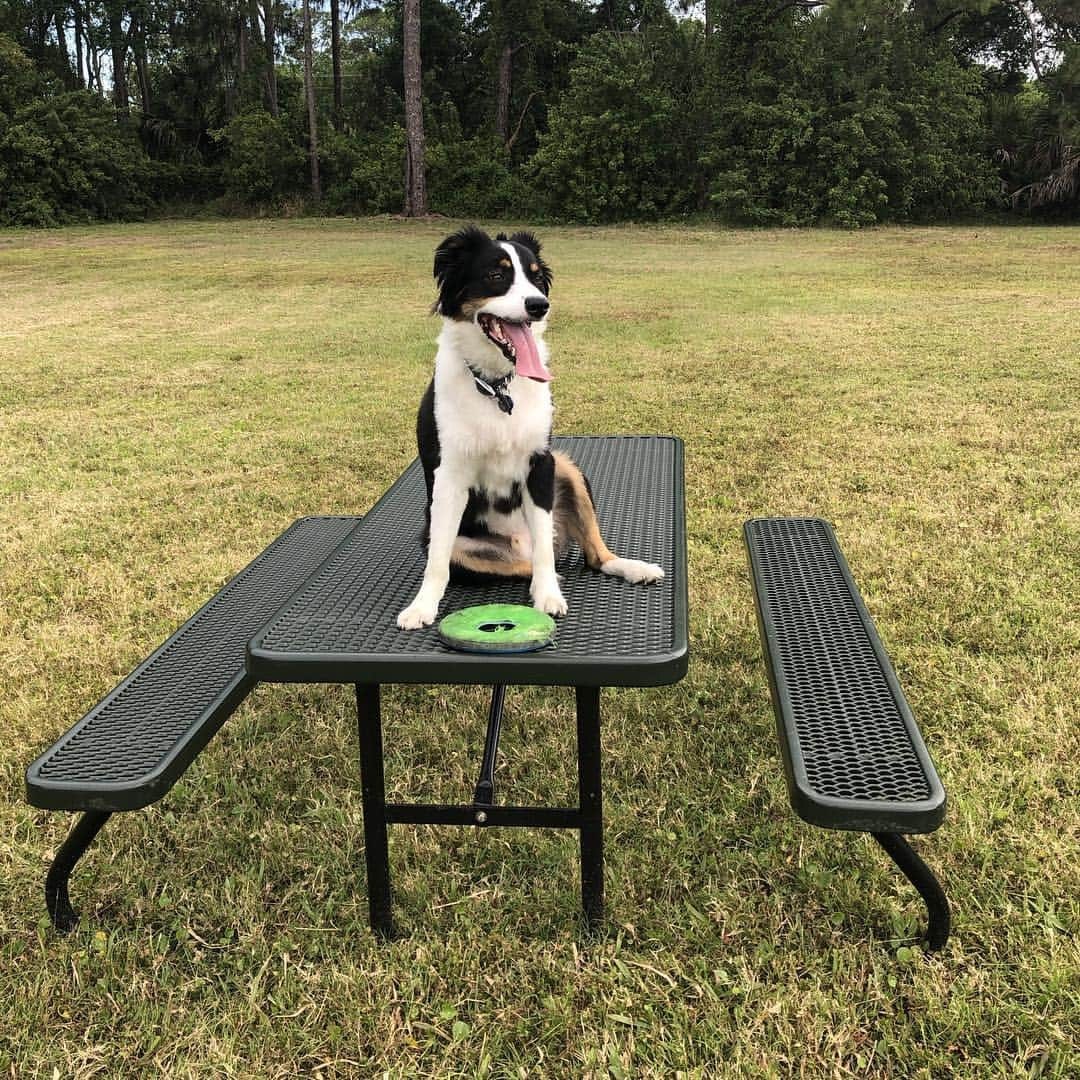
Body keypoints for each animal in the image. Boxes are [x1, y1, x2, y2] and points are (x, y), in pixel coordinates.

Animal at [397, 228, 660, 630]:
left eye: (536, 278)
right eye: (496, 275)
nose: (539, 305)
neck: (497, 387)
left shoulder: (540, 464)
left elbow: (546, 555)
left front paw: (549, 595)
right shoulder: (450, 477)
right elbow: (438, 562)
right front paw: (422, 606)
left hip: (566, 468)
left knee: (588, 555)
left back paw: (631, 568)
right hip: (465, 546)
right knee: (513, 564)